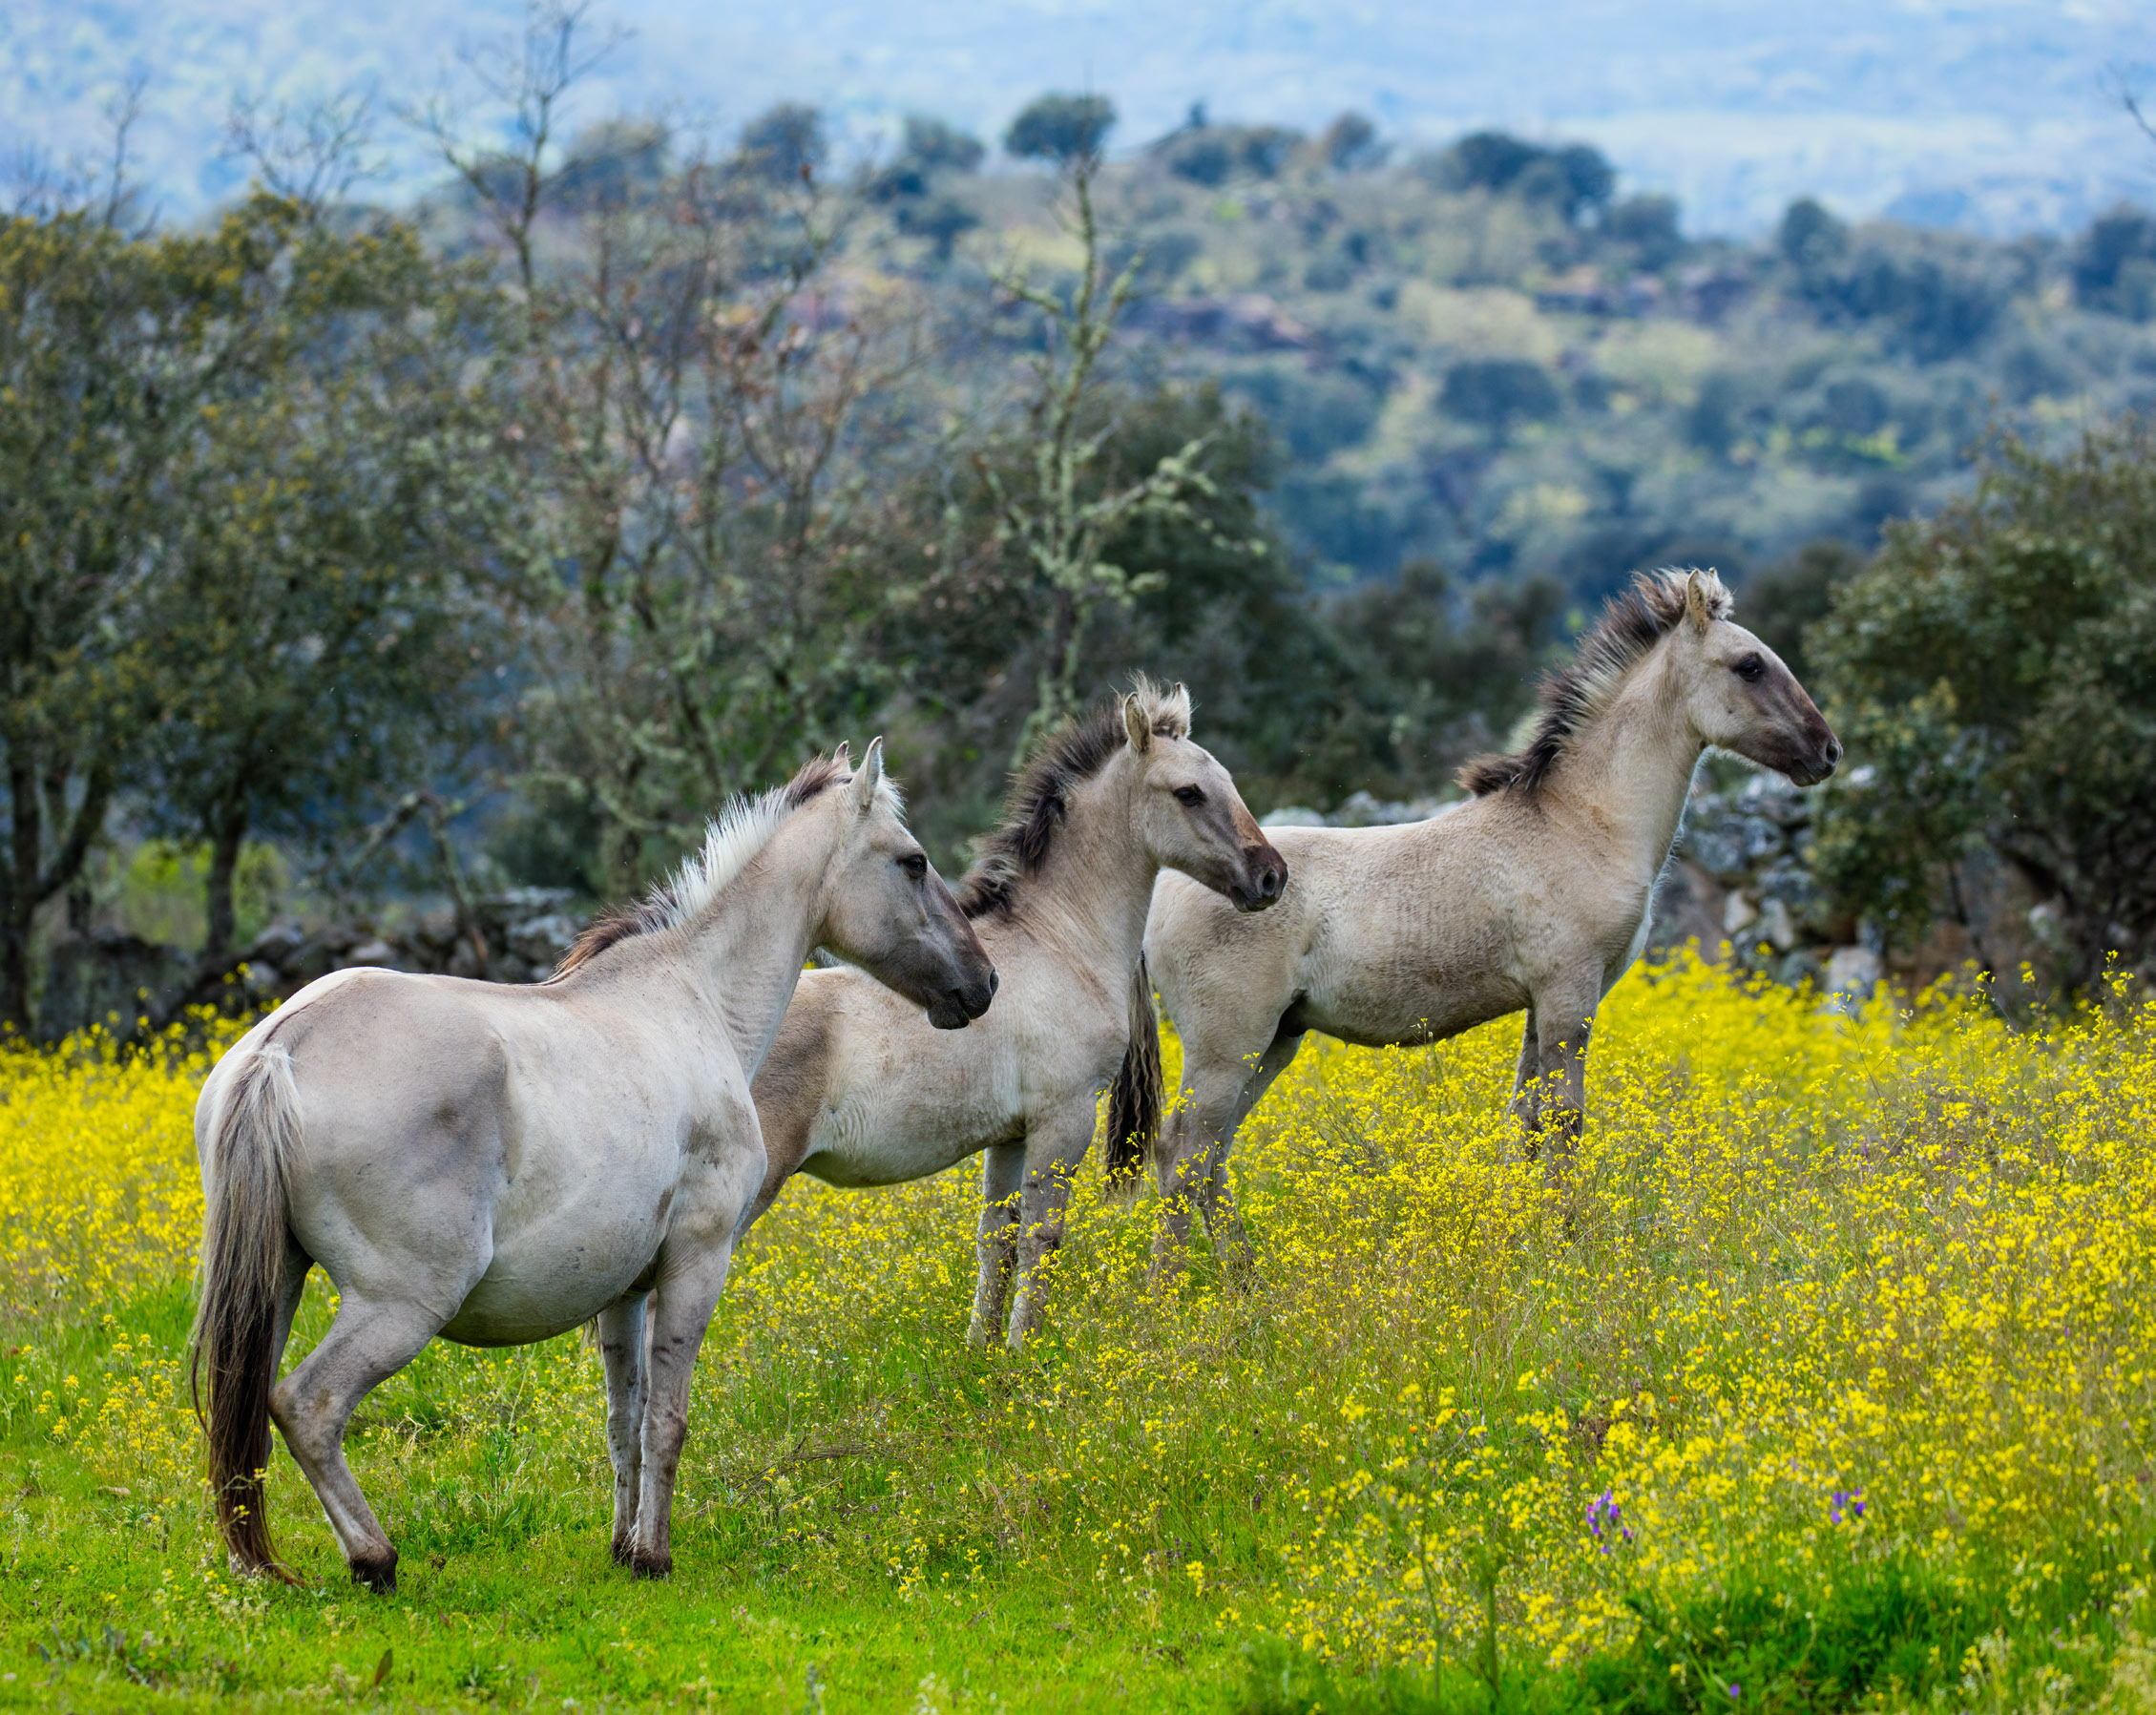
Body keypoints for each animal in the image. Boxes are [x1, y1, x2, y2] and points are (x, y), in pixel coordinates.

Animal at [191, 741, 997, 1591]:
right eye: (913, 861)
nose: (982, 982)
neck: (697, 1000)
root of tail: (283, 1043)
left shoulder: (625, 1293)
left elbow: (624, 1420)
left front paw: (621, 1546)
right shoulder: (695, 1265)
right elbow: (668, 1420)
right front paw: (655, 1555)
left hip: (278, 1282)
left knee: (251, 1412)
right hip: (401, 1303)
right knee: (307, 1405)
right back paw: (374, 1557)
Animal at [748, 681, 1287, 1350]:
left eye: (1227, 780)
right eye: (1189, 792)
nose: (1271, 875)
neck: (1059, 941)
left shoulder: (1007, 1137)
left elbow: (995, 1242)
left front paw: (982, 1352)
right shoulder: (1064, 1120)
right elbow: (1041, 1237)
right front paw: (1022, 1348)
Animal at [1119, 568, 1841, 1276]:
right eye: (1749, 665)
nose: (1827, 751)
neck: (1583, 824)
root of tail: (1159, 900)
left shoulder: (1542, 1004)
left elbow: (1525, 1118)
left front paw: (1519, 1239)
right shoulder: (1569, 993)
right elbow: (1563, 1120)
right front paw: (1566, 1244)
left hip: (1273, 1041)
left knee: (1211, 1154)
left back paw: (1246, 1281)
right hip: (1227, 1045)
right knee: (1182, 1152)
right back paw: (1171, 1295)